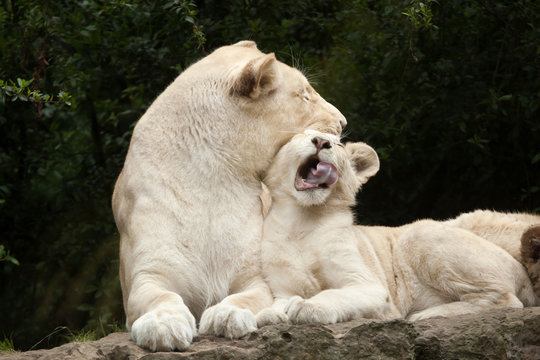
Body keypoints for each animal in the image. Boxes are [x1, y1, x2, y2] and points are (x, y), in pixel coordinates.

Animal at [112, 40, 346, 350]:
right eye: (304, 95)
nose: (343, 123)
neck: (211, 180)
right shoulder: (147, 275)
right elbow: (159, 297)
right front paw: (163, 325)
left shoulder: (257, 277)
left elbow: (248, 297)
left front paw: (228, 314)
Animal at [258, 130, 540, 326]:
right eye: (301, 136)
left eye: (336, 144)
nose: (320, 142)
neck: (301, 221)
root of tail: (522, 271)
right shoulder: (282, 288)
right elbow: (277, 304)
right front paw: (268, 315)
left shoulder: (370, 285)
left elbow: (335, 294)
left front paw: (307, 307)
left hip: (420, 235)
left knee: (505, 299)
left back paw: (424, 316)